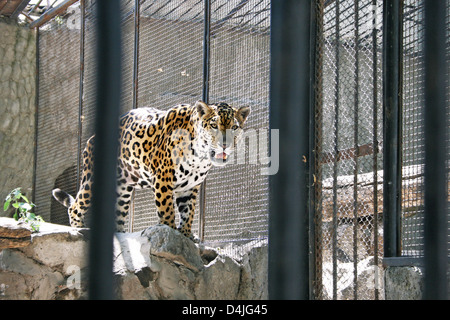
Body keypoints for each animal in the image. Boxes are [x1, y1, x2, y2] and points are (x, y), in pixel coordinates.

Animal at [53, 101, 251, 239]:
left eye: (234, 127)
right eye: (214, 126)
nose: (225, 145)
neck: (200, 158)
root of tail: (91, 138)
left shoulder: (190, 187)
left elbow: (188, 212)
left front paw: (187, 234)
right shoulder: (164, 177)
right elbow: (167, 209)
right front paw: (170, 232)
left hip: (123, 190)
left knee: (117, 214)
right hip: (92, 179)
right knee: (76, 207)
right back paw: (79, 230)